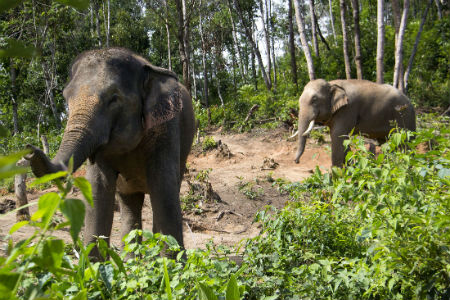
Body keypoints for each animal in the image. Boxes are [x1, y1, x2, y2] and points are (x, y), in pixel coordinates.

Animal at [25, 47, 195, 255]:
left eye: (114, 99)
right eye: (66, 98)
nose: (30, 150)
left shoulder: (166, 128)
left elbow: (164, 189)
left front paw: (171, 261)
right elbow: (97, 190)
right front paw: (91, 263)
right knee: (130, 205)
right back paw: (130, 258)